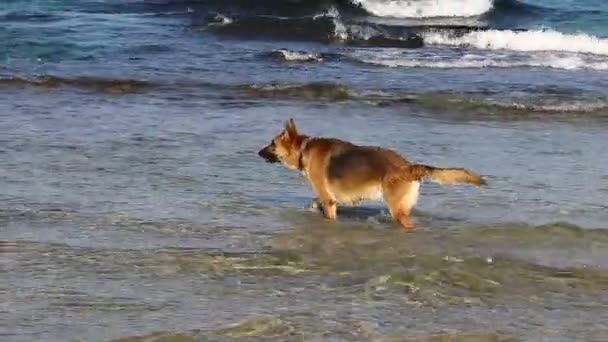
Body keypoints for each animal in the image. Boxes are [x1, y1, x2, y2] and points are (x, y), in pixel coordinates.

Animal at [256, 118, 484, 230]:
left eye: (272, 144)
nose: (257, 153)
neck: (304, 149)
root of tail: (408, 166)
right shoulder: (328, 199)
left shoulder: (328, 200)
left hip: (396, 209)